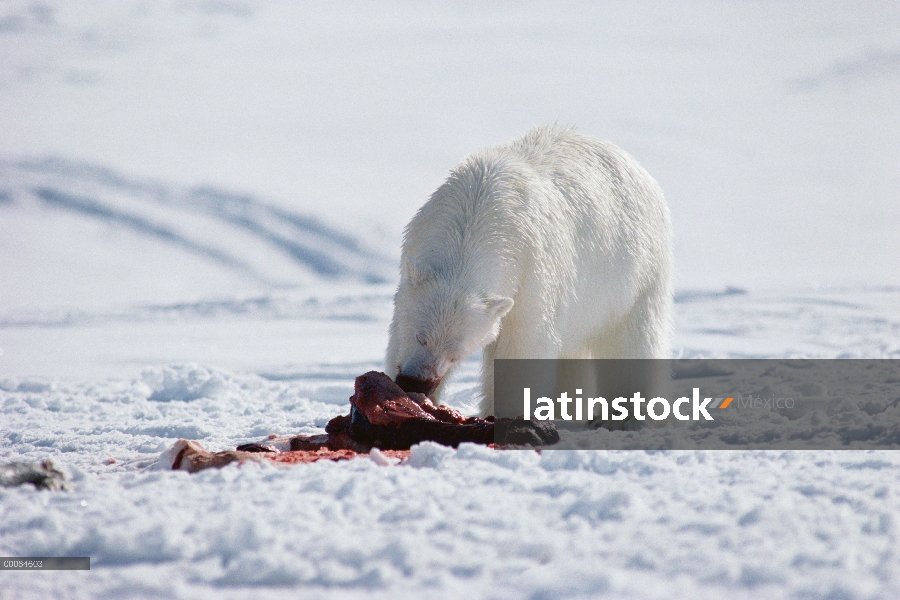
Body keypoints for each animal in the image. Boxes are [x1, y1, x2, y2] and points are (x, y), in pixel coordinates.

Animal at [384, 125, 672, 418]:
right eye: (420, 337)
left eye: (457, 353)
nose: (415, 382)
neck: (478, 211)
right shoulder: (421, 236)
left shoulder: (530, 276)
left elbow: (521, 347)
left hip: (637, 270)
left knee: (631, 338)